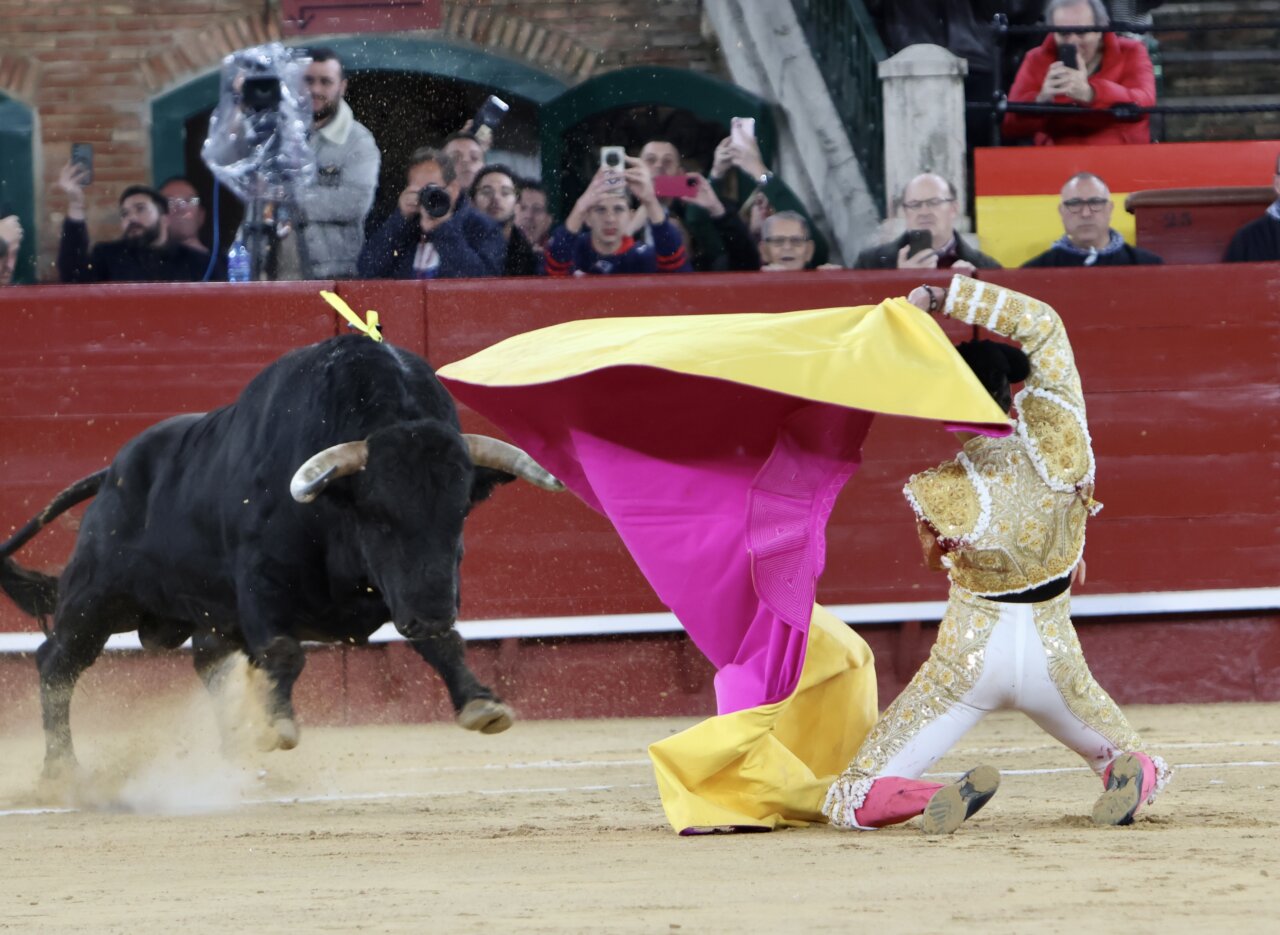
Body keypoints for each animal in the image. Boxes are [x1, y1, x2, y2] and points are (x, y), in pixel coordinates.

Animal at [0, 332, 563, 777]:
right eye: (377, 514)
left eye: (459, 512)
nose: (427, 615)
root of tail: (113, 472)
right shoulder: (261, 586)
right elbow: (284, 651)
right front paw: (276, 726)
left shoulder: (415, 589)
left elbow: (443, 644)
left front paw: (481, 704)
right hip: (97, 598)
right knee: (58, 662)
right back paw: (62, 770)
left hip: (199, 615)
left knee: (207, 663)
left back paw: (235, 760)